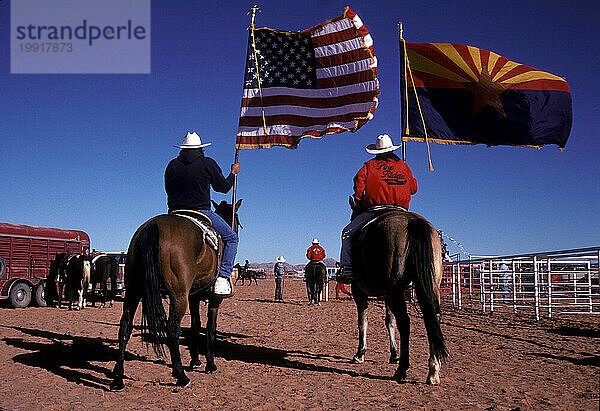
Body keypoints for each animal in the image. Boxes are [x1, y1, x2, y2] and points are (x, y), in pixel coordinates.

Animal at [111, 201, 243, 392]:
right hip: (178, 296)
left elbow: (196, 325)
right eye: (237, 218)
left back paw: (118, 378)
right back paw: (181, 376)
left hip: (133, 291)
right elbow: (210, 328)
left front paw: (195, 361)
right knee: (172, 328)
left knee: (125, 327)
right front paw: (210, 364)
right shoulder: (214, 299)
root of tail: (152, 226)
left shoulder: (193, 297)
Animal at [350, 208, 448, 384]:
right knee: (432, 319)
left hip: (395, 290)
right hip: (429, 286)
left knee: (405, 323)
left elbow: (362, 321)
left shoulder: (359, 291)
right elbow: (390, 322)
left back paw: (402, 369)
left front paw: (360, 354)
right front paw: (394, 354)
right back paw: (433, 371)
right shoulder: (387, 295)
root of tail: (414, 222)